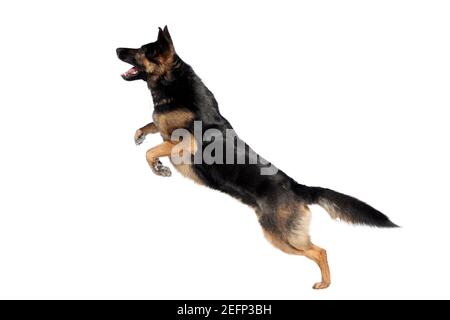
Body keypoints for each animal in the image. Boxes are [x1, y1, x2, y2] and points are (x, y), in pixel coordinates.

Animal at [117, 26, 398, 288]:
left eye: (142, 50)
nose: (117, 49)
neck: (173, 83)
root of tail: (297, 187)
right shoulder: (164, 132)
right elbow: (148, 127)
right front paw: (141, 137)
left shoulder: (185, 143)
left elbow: (151, 151)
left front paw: (158, 167)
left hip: (282, 236)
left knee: (320, 251)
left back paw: (324, 284)